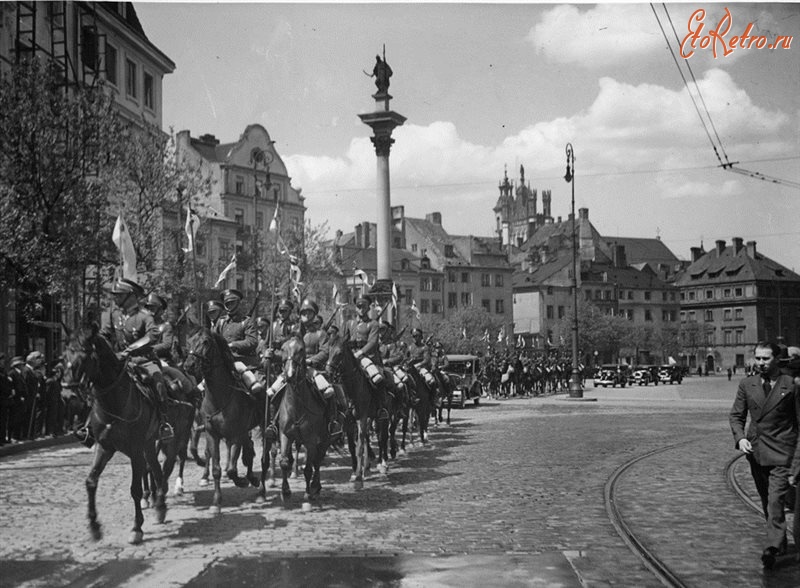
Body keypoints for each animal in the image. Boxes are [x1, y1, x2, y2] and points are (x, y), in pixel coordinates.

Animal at [61, 324, 167, 544]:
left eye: (84, 357)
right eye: (63, 356)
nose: (67, 396)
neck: (113, 402)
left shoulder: (135, 450)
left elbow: (135, 489)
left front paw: (136, 528)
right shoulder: (104, 447)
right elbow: (91, 482)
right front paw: (94, 526)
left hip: (150, 441)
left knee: (155, 470)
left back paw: (160, 505)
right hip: (148, 444)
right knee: (155, 468)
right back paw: (159, 504)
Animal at [182, 328, 266, 512]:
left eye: (206, 342)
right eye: (189, 341)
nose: (189, 365)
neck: (219, 397)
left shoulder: (235, 435)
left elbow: (232, 470)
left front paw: (242, 481)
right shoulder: (212, 434)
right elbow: (217, 469)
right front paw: (216, 502)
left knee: (265, 456)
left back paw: (261, 488)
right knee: (249, 449)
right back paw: (252, 478)